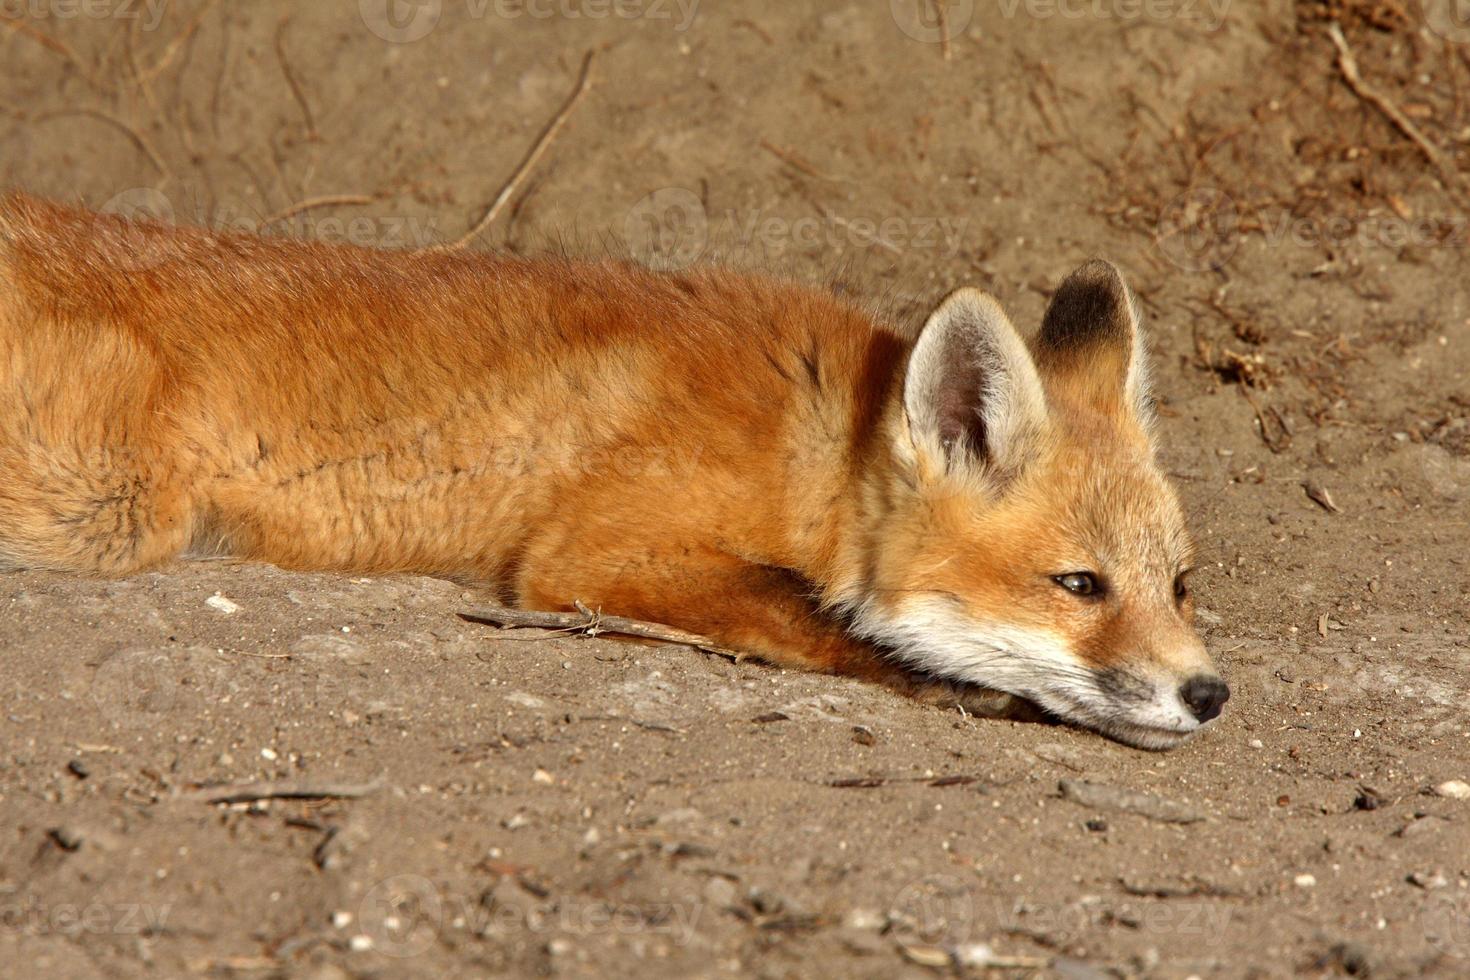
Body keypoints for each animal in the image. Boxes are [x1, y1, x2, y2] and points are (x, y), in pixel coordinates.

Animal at [0, 195, 1223, 758]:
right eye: (1079, 585)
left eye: (1180, 584)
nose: (1209, 692)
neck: (806, 439)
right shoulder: (593, 551)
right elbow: (810, 611)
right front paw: (951, 681)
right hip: (104, 508)